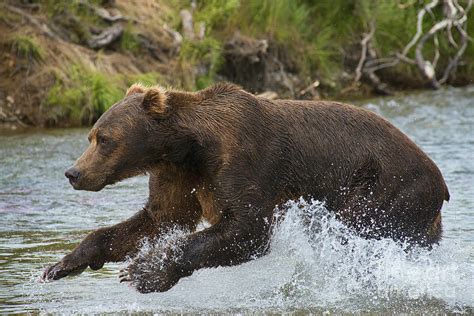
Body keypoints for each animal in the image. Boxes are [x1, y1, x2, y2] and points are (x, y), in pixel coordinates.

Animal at [40, 82, 448, 292]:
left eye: (105, 139)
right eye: (91, 135)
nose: (73, 173)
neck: (188, 148)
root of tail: (441, 183)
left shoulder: (244, 161)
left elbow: (246, 227)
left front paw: (144, 271)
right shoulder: (178, 176)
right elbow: (156, 219)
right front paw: (61, 264)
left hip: (385, 188)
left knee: (356, 236)